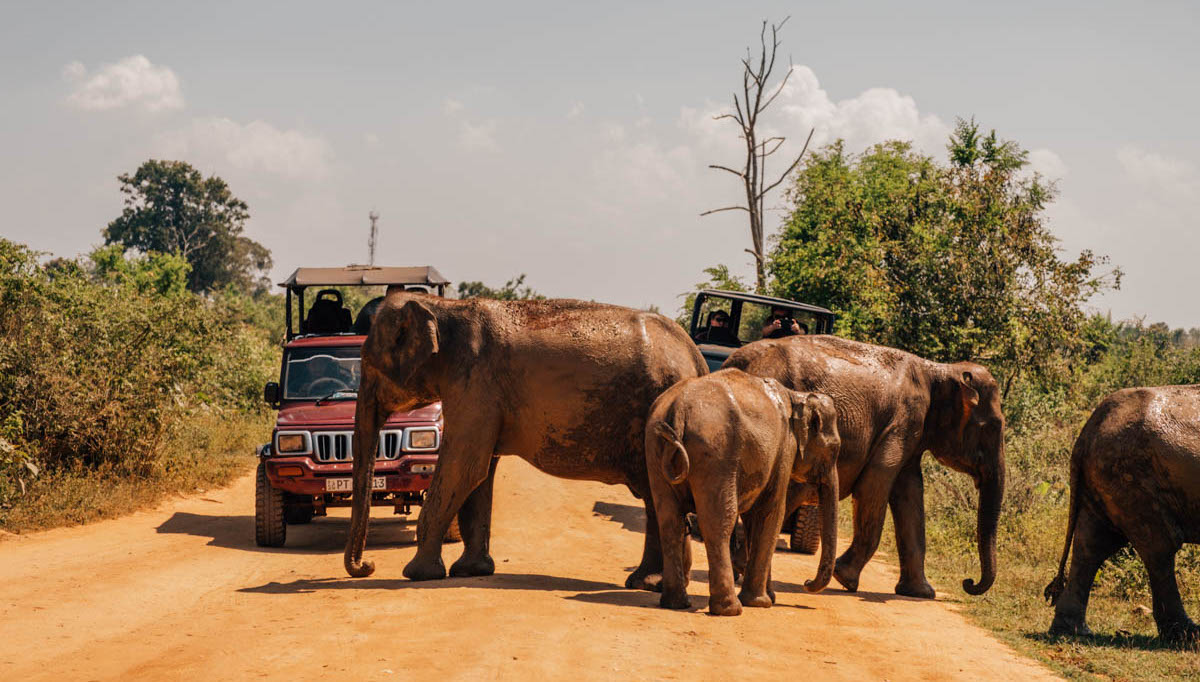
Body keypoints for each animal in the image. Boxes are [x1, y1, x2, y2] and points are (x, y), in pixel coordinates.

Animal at [343, 295, 705, 588]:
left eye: (369, 364)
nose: (367, 565)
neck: (443, 307)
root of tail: (695, 356)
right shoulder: (477, 390)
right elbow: (480, 473)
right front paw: (471, 571)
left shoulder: (474, 383)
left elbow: (464, 467)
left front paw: (416, 574)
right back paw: (652, 583)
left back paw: (652, 584)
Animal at [648, 369, 835, 614]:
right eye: (834, 449)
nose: (806, 582)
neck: (797, 396)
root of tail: (679, 407)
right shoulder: (784, 449)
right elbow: (771, 512)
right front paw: (762, 603)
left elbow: (753, 518)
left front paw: (767, 598)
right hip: (717, 451)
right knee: (718, 523)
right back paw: (730, 609)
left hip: (655, 446)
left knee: (669, 521)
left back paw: (676, 603)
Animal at [724, 336, 1008, 595]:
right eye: (992, 427)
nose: (968, 583)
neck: (940, 370)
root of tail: (737, 362)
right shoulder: (904, 421)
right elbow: (874, 486)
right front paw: (845, 579)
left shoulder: (912, 432)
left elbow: (910, 495)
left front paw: (920, 593)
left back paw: (738, 567)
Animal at [1041, 384, 1200, 643]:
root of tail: (1087, 431)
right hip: (1131, 478)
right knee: (1160, 549)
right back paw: (1188, 636)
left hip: (1106, 479)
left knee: (1091, 545)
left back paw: (1073, 632)